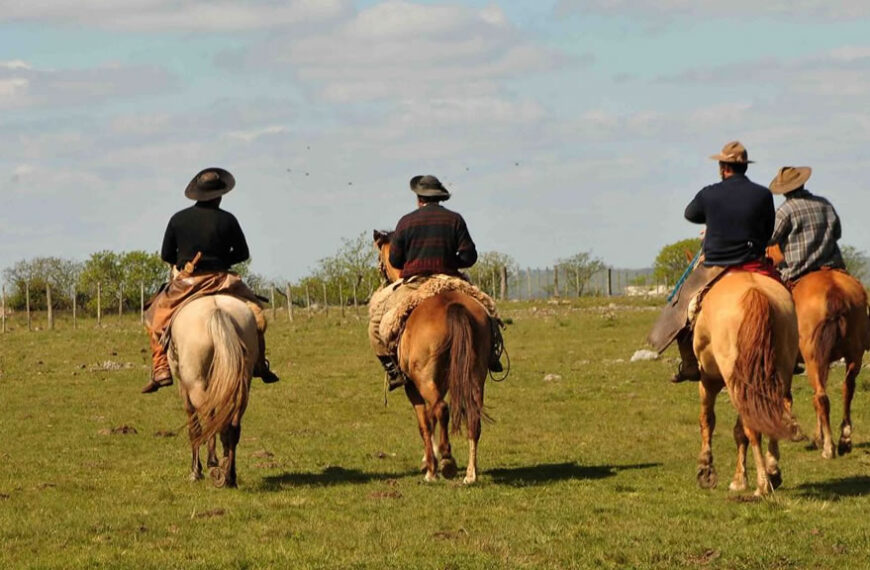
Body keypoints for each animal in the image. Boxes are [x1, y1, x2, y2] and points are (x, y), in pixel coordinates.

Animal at [166, 292, 255, 484]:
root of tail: (216, 310)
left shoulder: (184, 388)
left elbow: (194, 428)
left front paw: (195, 471)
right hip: (241, 385)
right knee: (232, 427)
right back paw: (230, 475)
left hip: (196, 384)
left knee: (208, 418)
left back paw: (213, 462)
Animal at [372, 229, 494, 482]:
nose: (385, 280)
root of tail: (453, 306)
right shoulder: (443, 381)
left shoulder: (413, 387)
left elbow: (425, 423)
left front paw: (430, 467)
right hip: (475, 376)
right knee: (473, 419)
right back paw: (470, 474)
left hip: (424, 378)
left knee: (441, 409)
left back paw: (446, 461)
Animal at [692, 270, 800, 492]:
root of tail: (755, 293)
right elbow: (739, 430)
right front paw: (740, 478)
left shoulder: (709, 379)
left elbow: (707, 420)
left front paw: (706, 470)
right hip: (778, 371)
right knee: (775, 413)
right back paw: (772, 471)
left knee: (754, 425)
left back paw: (763, 484)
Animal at [768, 244, 870, 458]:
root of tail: (834, 290)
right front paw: (817, 435)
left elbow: (787, 395)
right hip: (852, 355)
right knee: (846, 389)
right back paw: (844, 439)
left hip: (813, 359)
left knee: (821, 397)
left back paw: (829, 447)